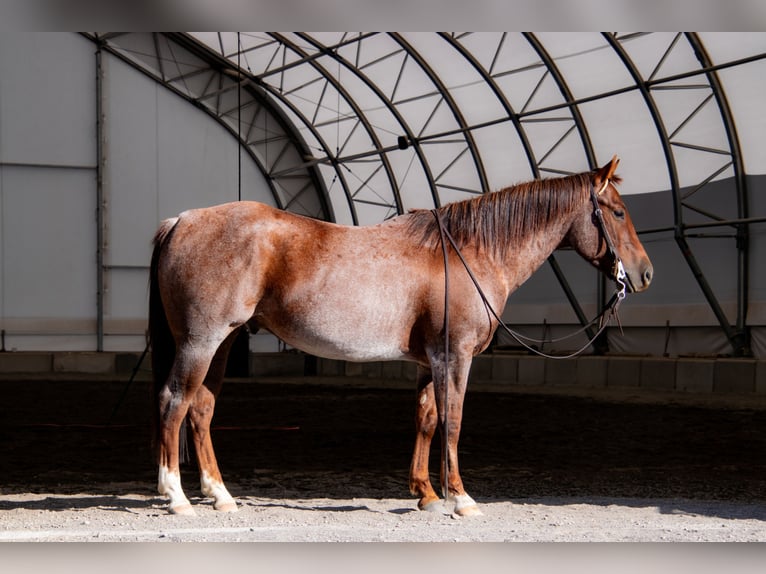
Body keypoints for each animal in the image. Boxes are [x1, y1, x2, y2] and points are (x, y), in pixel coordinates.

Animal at [149, 155, 653, 516]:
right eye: (618, 211)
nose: (645, 274)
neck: (469, 251)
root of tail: (182, 220)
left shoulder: (430, 361)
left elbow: (427, 419)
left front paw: (425, 493)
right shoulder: (456, 356)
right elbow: (453, 421)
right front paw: (460, 498)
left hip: (224, 343)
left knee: (202, 409)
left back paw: (220, 494)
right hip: (201, 342)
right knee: (175, 401)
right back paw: (176, 496)